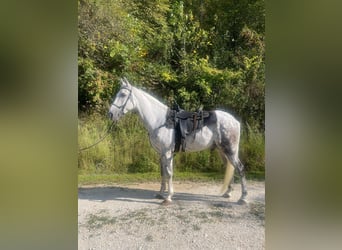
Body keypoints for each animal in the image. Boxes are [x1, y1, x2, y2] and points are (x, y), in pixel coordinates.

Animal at [108, 78, 247, 205]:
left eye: (123, 94)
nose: (110, 114)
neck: (160, 121)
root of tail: (235, 121)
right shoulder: (161, 154)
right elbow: (163, 172)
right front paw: (160, 193)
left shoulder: (167, 152)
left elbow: (169, 173)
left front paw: (168, 197)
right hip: (222, 151)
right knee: (230, 167)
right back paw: (228, 193)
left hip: (230, 150)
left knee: (240, 168)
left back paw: (243, 198)